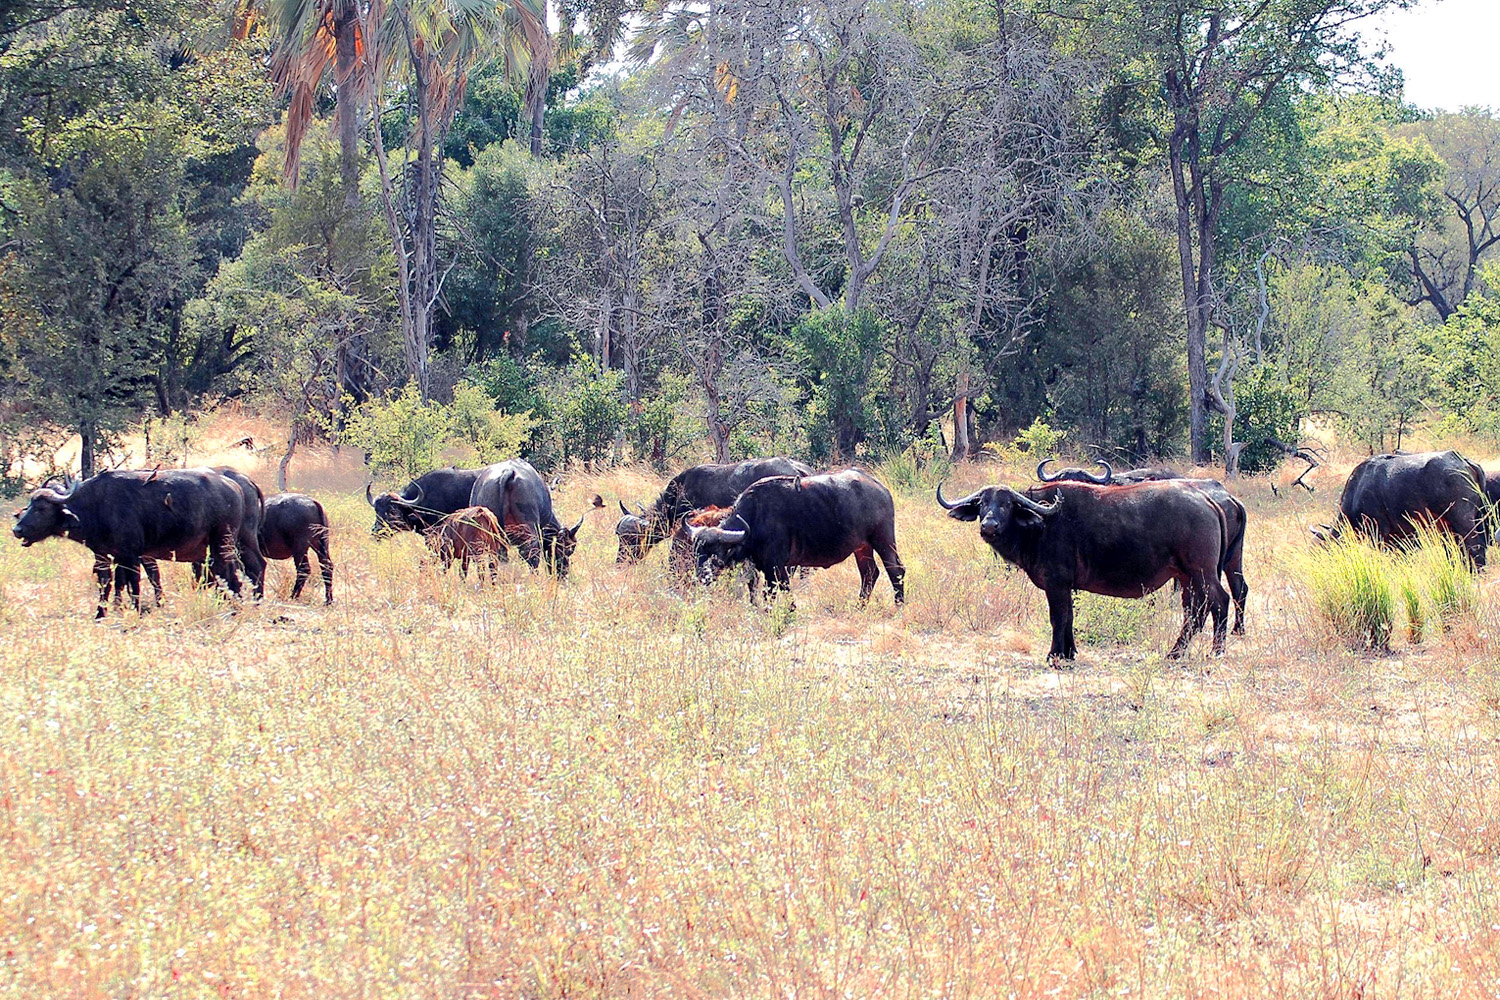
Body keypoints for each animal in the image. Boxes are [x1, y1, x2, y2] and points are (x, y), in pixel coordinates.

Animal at [12, 467, 247, 617]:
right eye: (29, 505)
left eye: (41, 508)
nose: (17, 529)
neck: (96, 506)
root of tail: (234, 487)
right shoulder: (103, 555)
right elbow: (107, 584)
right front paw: (100, 613)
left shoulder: (131, 555)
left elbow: (133, 584)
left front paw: (136, 610)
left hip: (221, 545)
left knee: (229, 575)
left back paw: (234, 606)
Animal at [690, 470, 905, 604]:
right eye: (697, 553)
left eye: (716, 553)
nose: (702, 576)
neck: (755, 518)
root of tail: (881, 490)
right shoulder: (763, 567)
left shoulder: (776, 566)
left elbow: (778, 591)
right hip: (861, 547)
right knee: (869, 573)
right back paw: (860, 606)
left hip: (883, 539)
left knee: (896, 570)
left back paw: (898, 605)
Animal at [939, 478, 1230, 661]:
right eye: (982, 503)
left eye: (1008, 504)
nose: (989, 526)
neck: (1042, 524)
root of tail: (1205, 499)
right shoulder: (1068, 587)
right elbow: (1069, 618)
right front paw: (1069, 653)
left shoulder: (1056, 584)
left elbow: (1058, 618)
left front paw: (1054, 655)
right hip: (1186, 577)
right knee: (1194, 612)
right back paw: (1175, 652)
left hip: (1202, 572)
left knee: (1220, 602)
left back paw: (1216, 651)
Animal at [1037, 458, 1250, 634]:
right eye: (1063, 479)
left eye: (1083, 481)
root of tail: (1228, 498)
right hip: (1232, 558)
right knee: (1239, 586)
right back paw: (1238, 629)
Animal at [1317, 450, 1490, 566]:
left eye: (1328, 550)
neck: (1358, 489)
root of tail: (1463, 461)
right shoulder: (1400, 538)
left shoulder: (1379, 534)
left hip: (1462, 521)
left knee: (1475, 546)